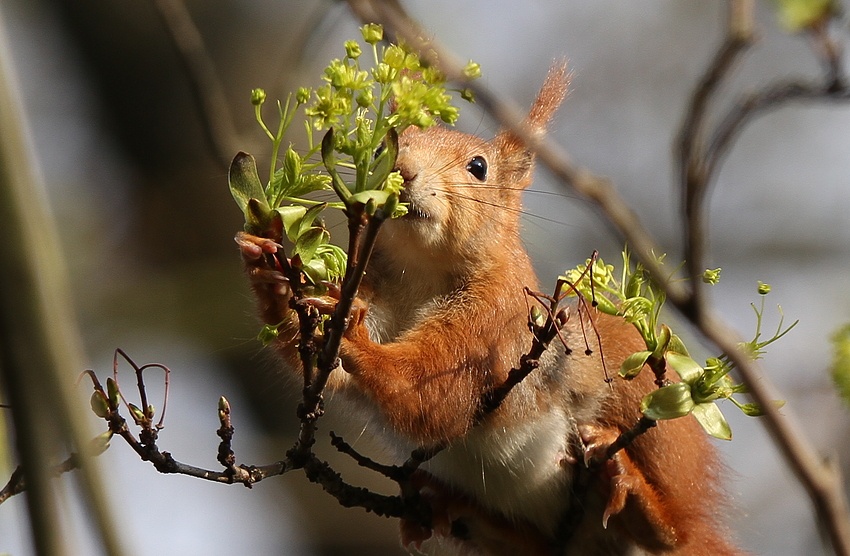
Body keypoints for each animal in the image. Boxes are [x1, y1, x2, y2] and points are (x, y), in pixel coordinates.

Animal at [235, 63, 740, 552]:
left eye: (478, 166)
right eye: (381, 147)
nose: (402, 171)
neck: (423, 273)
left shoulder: (495, 322)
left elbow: (430, 385)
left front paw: (357, 341)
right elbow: (334, 371)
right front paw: (273, 274)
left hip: (648, 410)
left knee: (673, 532)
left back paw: (635, 491)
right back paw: (446, 505)